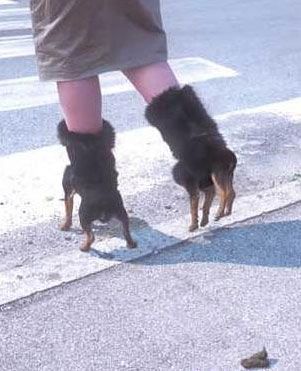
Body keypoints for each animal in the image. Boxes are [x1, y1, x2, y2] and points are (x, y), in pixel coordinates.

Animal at [57, 120, 136, 251]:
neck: (91, 150)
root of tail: (105, 203)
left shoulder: (68, 193)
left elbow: (68, 211)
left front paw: (65, 225)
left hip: (83, 215)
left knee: (91, 236)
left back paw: (84, 247)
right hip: (122, 213)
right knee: (126, 231)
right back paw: (131, 243)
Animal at [145, 85, 237, 231]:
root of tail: (231, 158)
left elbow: (194, 203)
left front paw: (194, 223)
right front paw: (201, 220)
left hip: (212, 176)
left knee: (223, 193)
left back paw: (218, 213)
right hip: (224, 176)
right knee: (229, 193)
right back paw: (223, 212)